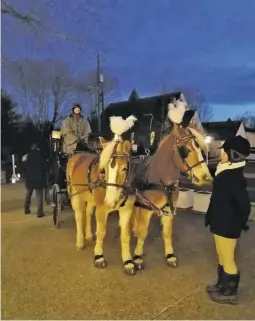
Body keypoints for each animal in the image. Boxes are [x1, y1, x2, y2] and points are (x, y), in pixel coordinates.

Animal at [94, 109, 212, 274]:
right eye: (185, 149)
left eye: (200, 148)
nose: (206, 177)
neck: (160, 179)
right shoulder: (145, 209)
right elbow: (143, 232)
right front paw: (137, 257)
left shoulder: (168, 209)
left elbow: (167, 233)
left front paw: (170, 255)